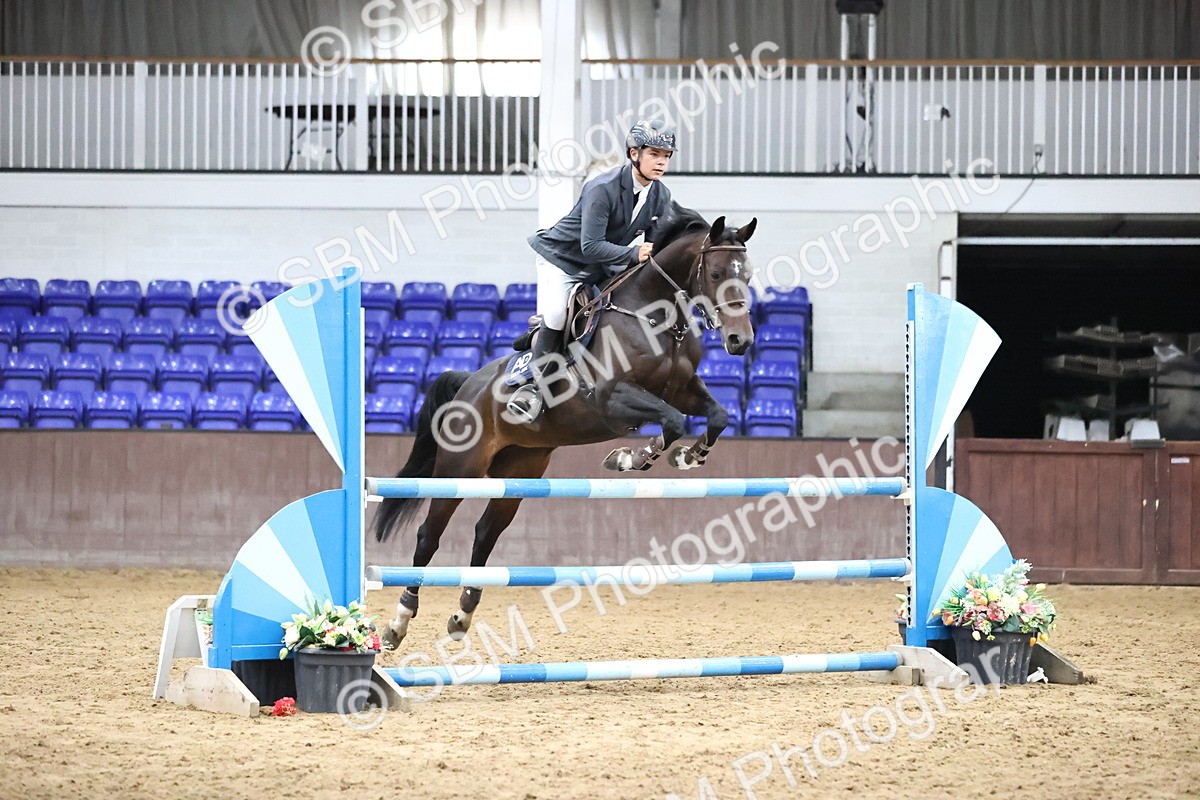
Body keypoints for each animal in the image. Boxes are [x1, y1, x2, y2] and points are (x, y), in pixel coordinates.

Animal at [373, 207, 758, 648]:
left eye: (747, 275)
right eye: (716, 273)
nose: (740, 341)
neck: (654, 317)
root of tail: (468, 383)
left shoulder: (683, 389)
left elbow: (716, 416)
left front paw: (688, 457)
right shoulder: (612, 398)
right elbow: (672, 421)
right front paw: (629, 458)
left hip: (520, 470)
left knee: (486, 533)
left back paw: (462, 614)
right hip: (459, 470)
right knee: (428, 536)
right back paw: (399, 622)